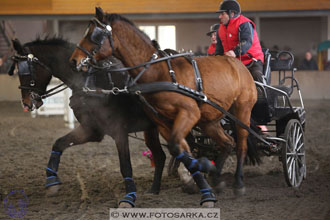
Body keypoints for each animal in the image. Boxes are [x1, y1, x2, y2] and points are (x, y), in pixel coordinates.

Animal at [9, 37, 166, 207]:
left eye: (24, 71)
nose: (26, 104)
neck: (91, 82)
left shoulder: (119, 131)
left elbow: (125, 166)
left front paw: (129, 198)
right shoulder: (91, 130)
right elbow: (59, 144)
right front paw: (51, 182)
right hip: (151, 129)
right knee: (160, 156)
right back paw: (154, 189)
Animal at [70, 6, 258, 206]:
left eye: (94, 34)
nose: (74, 61)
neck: (158, 72)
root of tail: (239, 64)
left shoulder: (189, 113)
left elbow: (179, 149)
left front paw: (202, 175)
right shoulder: (162, 122)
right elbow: (180, 150)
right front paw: (200, 179)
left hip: (242, 111)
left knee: (241, 144)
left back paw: (238, 183)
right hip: (209, 120)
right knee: (227, 143)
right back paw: (217, 179)